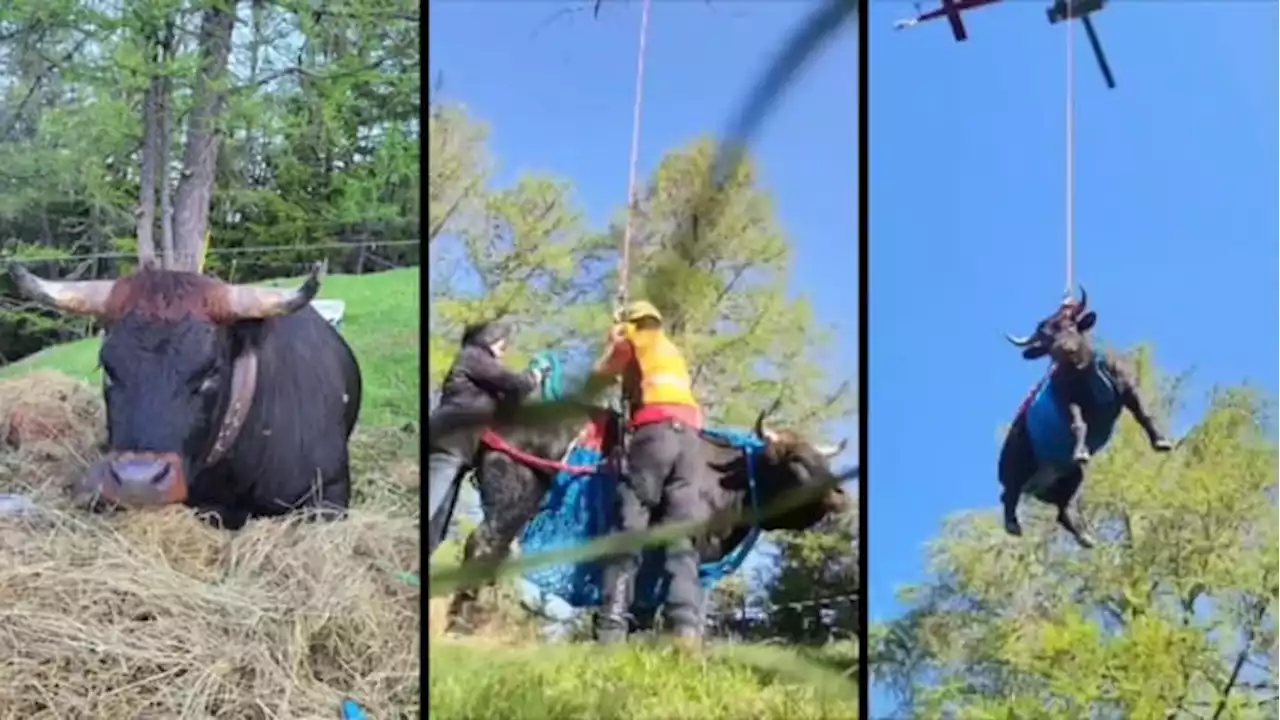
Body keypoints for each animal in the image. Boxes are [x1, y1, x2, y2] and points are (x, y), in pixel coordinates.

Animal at [445, 392, 855, 638]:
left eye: (821, 459)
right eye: (796, 459)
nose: (840, 494)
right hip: (515, 492)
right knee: (483, 545)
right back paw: (457, 623)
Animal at [998, 285, 1172, 543]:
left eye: (1070, 326)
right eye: (1046, 340)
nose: (1064, 350)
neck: (1086, 366)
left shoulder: (1127, 387)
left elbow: (1143, 413)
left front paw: (1161, 441)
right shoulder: (1068, 400)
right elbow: (1079, 424)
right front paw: (1081, 451)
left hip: (1070, 476)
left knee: (1064, 510)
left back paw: (1085, 537)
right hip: (1017, 463)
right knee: (1010, 494)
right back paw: (1012, 524)